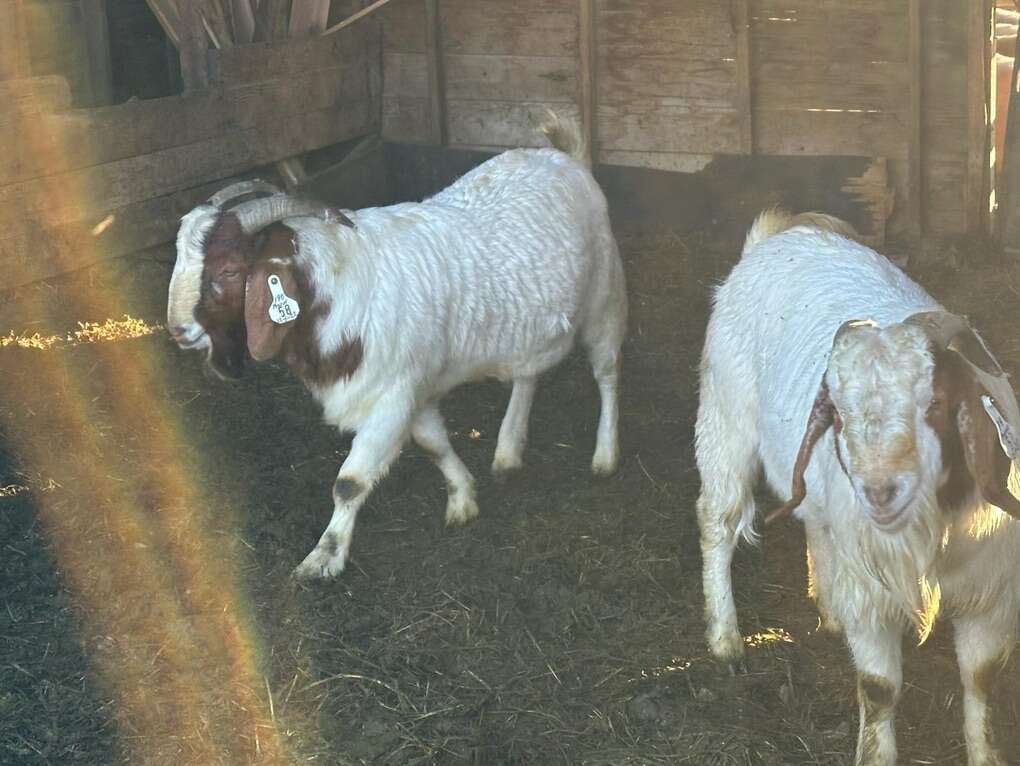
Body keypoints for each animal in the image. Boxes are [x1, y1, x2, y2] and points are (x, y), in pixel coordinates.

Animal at [167, 112, 627, 579]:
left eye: (228, 270)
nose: (178, 330)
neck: (336, 287)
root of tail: (569, 159)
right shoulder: (413, 389)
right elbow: (433, 444)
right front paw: (463, 498)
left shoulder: (390, 395)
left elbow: (349, 482)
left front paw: (323, 557)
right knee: (528, 374)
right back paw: (508, 452)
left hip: (605, 295)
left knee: (607, 373)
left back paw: (605, 455)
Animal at [696, 208, 1020, 766]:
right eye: (839, 415)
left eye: (935, 403)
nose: (880, 492)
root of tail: (776, 237)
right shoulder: (873, 599)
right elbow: (878, 689)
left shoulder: (991, 597)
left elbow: (981, 682)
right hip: (725, 420)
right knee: (717, 521)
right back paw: (726, 638)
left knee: (815, 526)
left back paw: (827, 610)